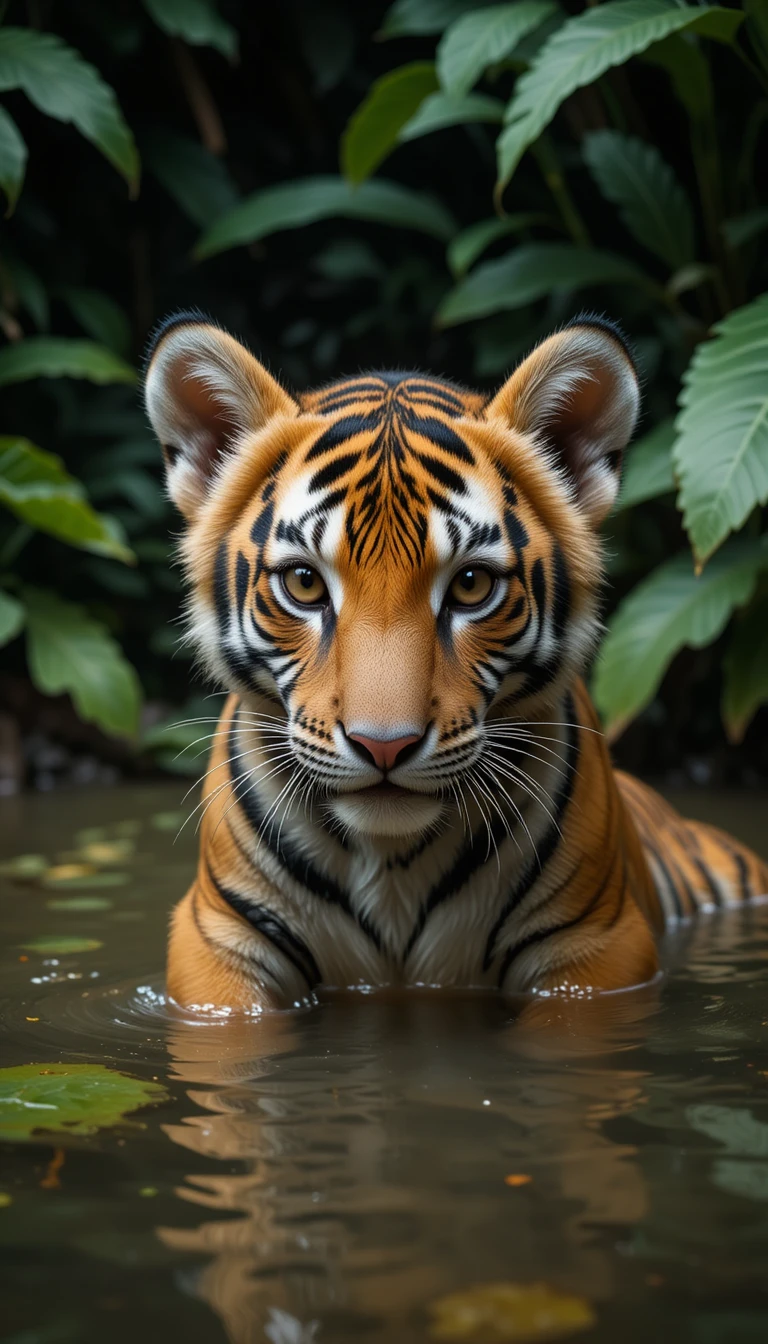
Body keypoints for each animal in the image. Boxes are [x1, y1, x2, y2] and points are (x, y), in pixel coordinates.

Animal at [144, 311, 768, 1013]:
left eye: (471, 585)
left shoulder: (594, 949)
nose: (384, 746)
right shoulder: (221, 943)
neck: (390, 863)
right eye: (304, 583)